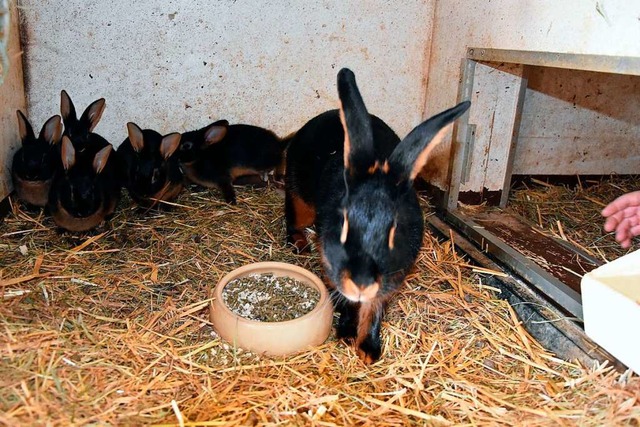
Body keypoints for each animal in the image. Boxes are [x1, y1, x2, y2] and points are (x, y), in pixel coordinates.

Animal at [284, 67, 470, 364]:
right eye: (344, 223)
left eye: (394, 229)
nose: (361, 282)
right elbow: (349, 302)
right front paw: (347, 334)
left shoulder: (391, 279)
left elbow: (373, 310)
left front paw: (369, 350)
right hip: (299, 200)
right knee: (292, 219)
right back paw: (299, 244)